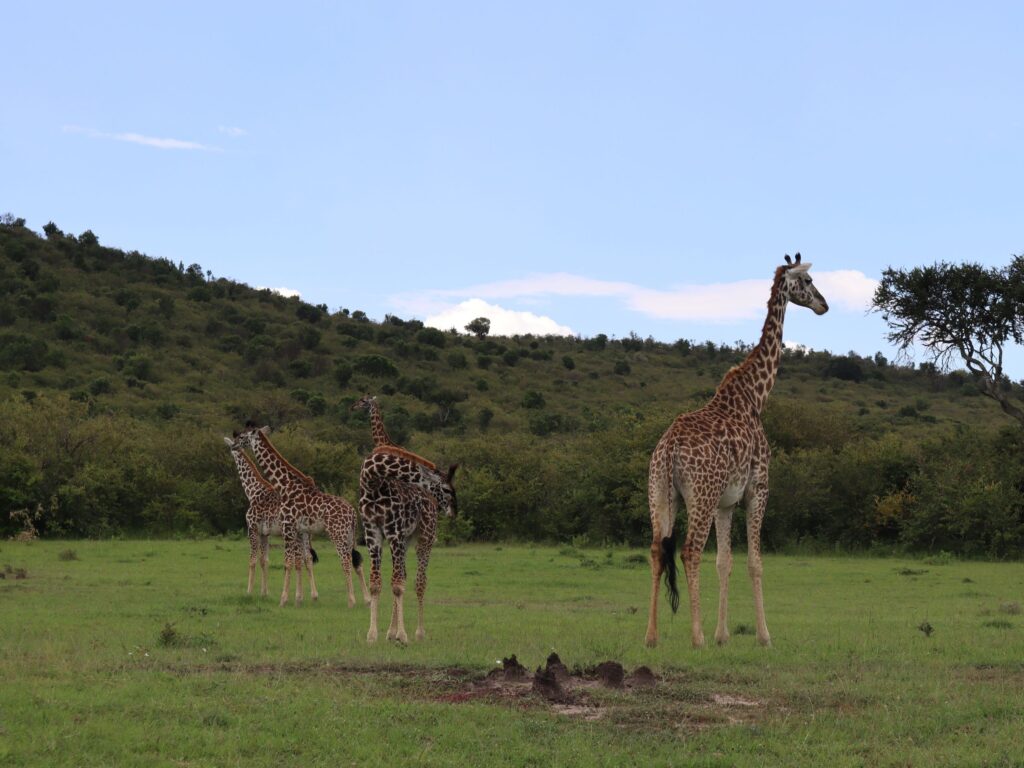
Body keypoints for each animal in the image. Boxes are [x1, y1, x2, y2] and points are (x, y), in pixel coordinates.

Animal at [224, 438, 315, 593]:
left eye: (230, 447)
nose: (231, 451)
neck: (252, 491)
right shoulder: (265, 533)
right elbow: (264, 560)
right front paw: (264, 592)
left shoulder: (252, 528)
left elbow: (252, 560)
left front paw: (249, 592)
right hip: (305, 532)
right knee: (307, 558)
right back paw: (313, 594)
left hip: (293, 532)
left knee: (298, 559)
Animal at [236, 423, 372, 610]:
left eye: (243, 436)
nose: (234, 444)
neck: (285, 485)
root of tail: (352, 513)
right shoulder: (299, 530)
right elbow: (299, 561)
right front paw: (298, 599)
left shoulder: (287, 527)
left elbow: (288, 563)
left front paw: (283, 600)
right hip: (350, 535)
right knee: (356, 561)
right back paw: (366, 600)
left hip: (337, 534)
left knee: (345, 560)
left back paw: (351, 601)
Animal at [647, 253, 831, 651]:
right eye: (808, 281)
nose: (824, 305)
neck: (755, 396)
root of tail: (668, 449)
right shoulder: (757, 490)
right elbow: (754, 562)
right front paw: (763, 636)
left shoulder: (726, 502)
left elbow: (724, 562)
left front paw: (723, 635)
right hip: (699, 496)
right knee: (689, 551)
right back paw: (696, 637)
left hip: (661, 495)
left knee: (656, 550)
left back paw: (652, 637)